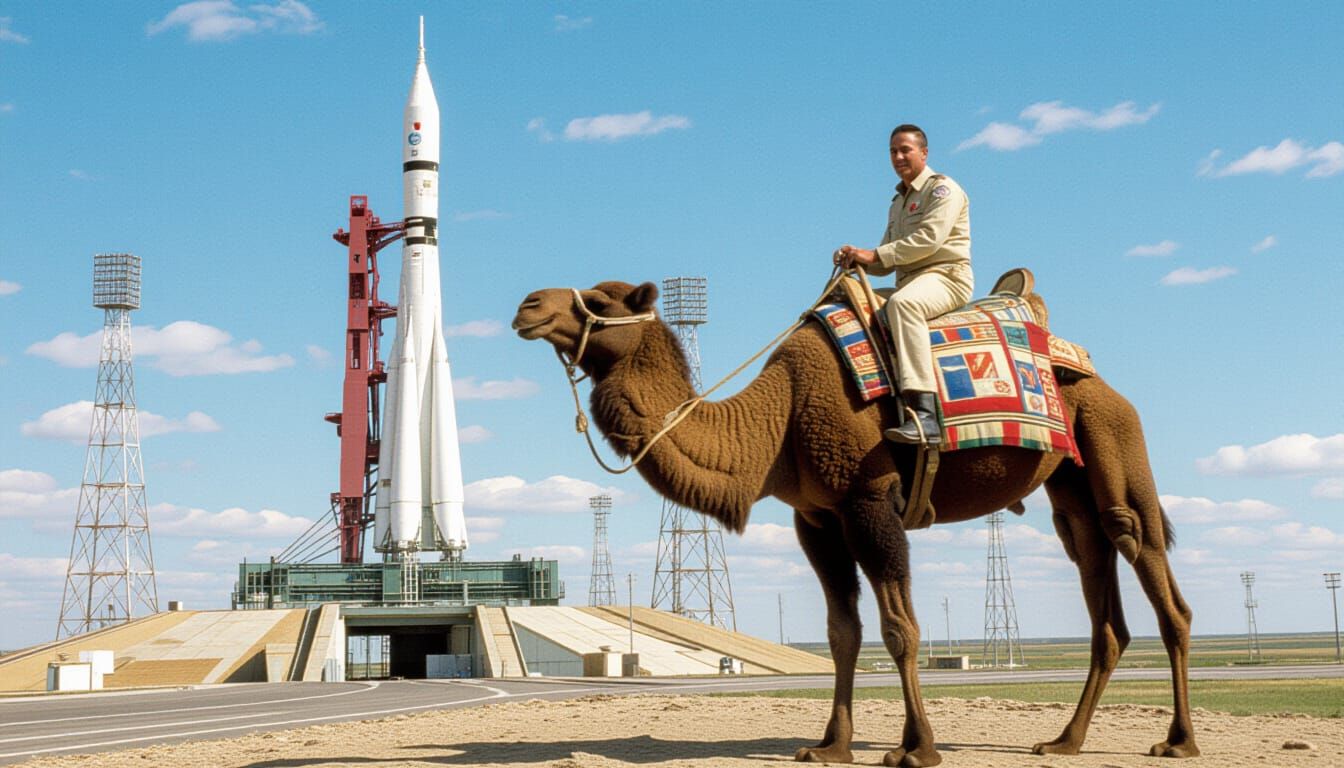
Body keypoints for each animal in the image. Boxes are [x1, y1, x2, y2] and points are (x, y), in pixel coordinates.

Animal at [512, 278, 1199, 766]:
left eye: (601, 299)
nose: (528, 305)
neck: (779, 419)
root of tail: (1087, 368)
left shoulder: (870, 497)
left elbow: (900, 628)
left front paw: (918, 748)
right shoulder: (816, 518)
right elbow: (843, 631)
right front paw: (830, 746)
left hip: (1112, 433)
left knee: (1146, 558)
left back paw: (1177, 740)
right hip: (1069, 485)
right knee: (1097, 580)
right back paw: (1064, 742)